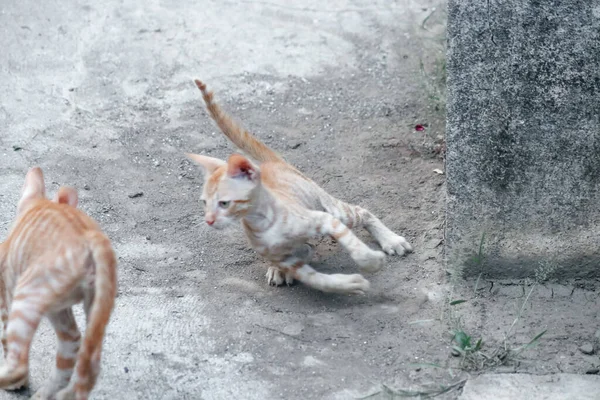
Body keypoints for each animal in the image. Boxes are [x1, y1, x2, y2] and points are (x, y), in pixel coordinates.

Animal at [0, 168, 118, 400]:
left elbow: (5, 339)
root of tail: (91, 235)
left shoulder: (4, 298)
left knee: (19, 364)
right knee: (83, 356)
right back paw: (55, 394)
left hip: (28, 294)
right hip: (86, 307)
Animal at [188, 79, 412, 296]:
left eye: (224, 203)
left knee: (363, 212)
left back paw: (392, 240)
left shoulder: (324, 219)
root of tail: (273, 163)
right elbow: (319, 280)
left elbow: (354, 245)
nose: (208, 220)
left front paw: (372, 261)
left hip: (333, 209)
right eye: (204, 203)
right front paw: (349, 284)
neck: (264, 224)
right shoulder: (287, 260)